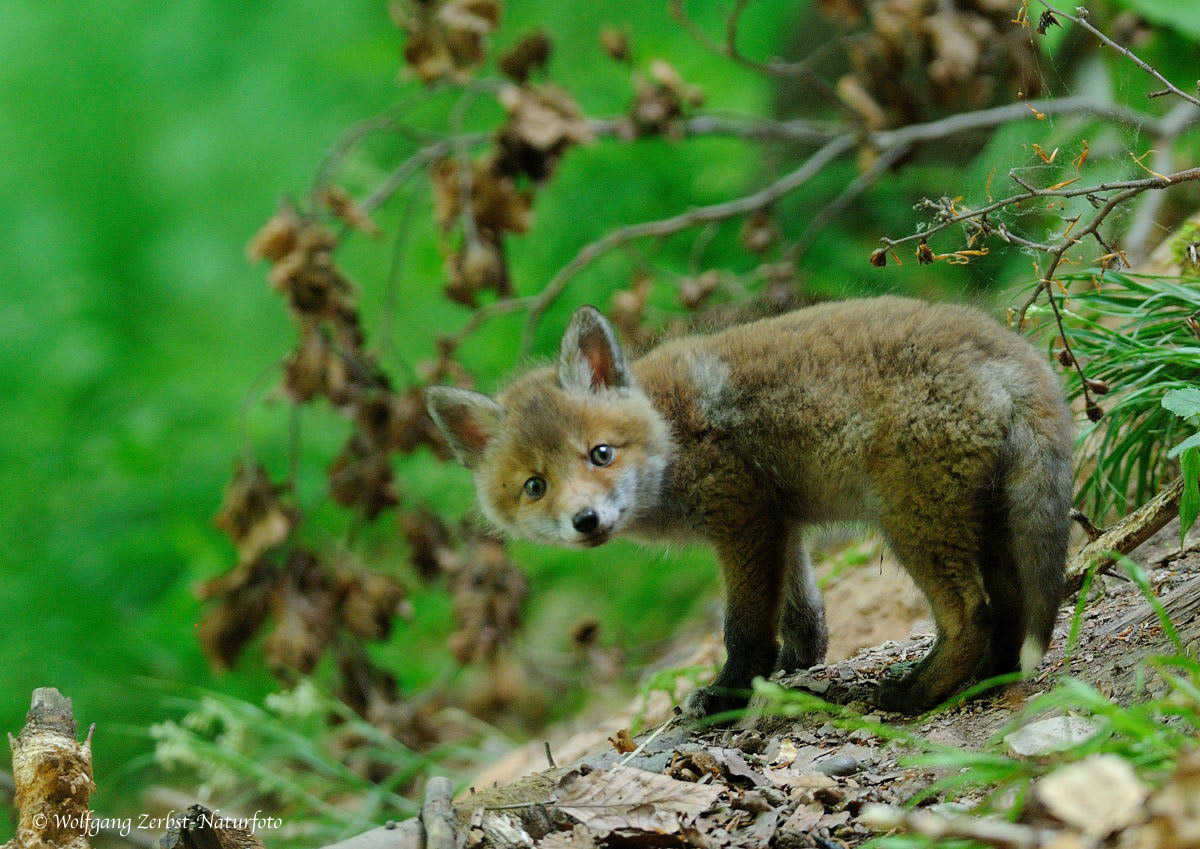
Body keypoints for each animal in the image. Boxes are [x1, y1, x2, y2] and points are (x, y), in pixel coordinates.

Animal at [427, 298, 1075, 714]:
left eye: (600, 454)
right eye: (535, 486)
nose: (586, 522)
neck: (671, 433)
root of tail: (1013, 350)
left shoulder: (744, 522)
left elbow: (744, 629)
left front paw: (730, 694)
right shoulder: (782, 524)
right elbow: (803, 615)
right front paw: (795, 667)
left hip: (910, 521)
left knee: (971, 615)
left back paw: (911, 695)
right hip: (983, 520)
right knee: (1010, 607)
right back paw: (988, 678)